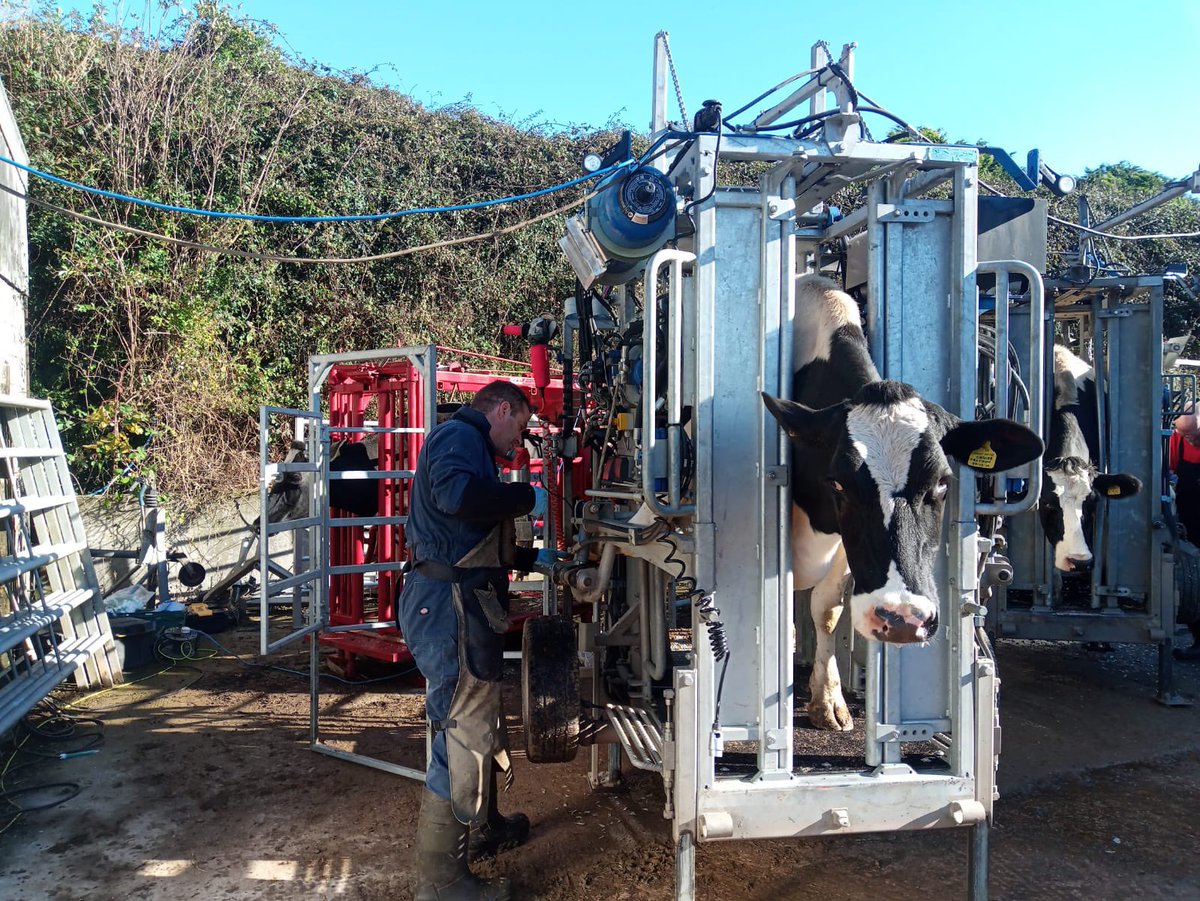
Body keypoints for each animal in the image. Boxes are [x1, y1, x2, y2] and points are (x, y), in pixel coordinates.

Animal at [763, 277, 1046, 734]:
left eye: (942, 483)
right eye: (838, 482)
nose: (901, 619)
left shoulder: (843, 552)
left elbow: (827, 611)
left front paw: (828, 702)